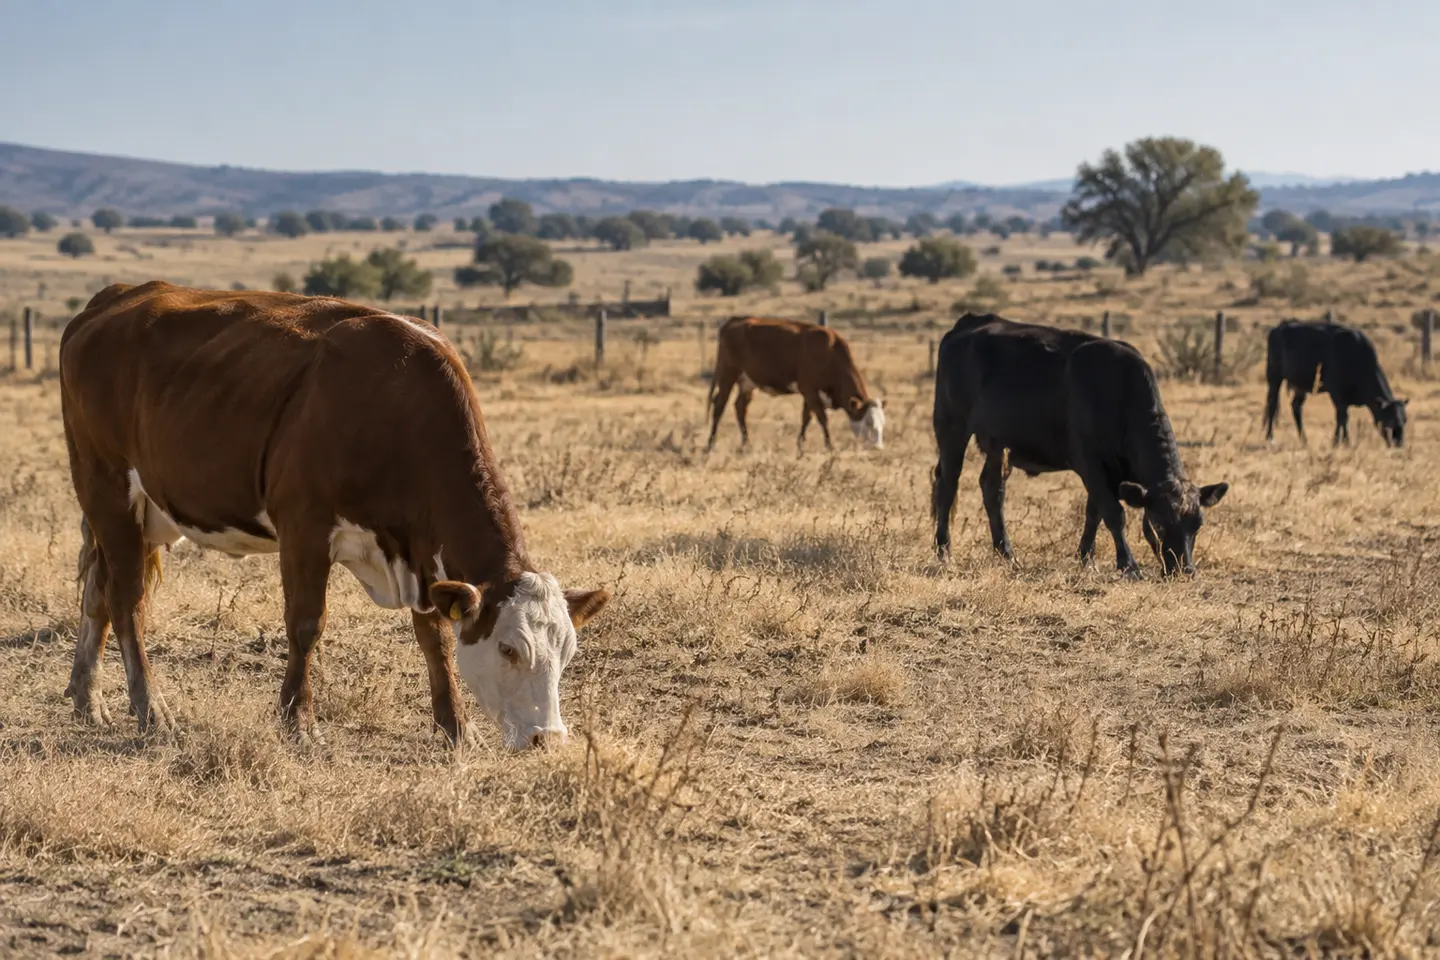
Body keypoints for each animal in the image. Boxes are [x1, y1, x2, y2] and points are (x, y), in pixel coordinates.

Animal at [58, 281, 610, 750]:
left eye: (568, 653)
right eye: (509, 649)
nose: (547, 738)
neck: (395, 406)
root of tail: (112, 298)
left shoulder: (420, 552)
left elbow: (434, 639)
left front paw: (456, 727)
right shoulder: (304, 526)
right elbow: (306, 624)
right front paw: (297, 722)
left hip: (141, 510)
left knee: (98, 590)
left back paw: (87, 698)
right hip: (106, 488)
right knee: (126, 600)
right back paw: (151, 709)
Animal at [705, 317, 884, 452]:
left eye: (883, 423)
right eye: (868, 423)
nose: (878, 447)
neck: (829, 352)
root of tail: (734, 320)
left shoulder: (809, 394)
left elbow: (806, 417)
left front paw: (800, 445)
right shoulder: (809, 389)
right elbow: (822, 418)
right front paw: (829, 446)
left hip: (747, 382)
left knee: (740, 407)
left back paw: (746, 444)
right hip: (728, 374)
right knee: (719, 405)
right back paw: (710, 445)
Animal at [931, 314, 1230, 578]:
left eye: (1198, 524)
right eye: (1158, 522)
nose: (1184, 570)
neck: (1119, 394)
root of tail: (970, 321)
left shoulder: (1109, 472)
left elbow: (1093, 513)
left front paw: (1087, 558)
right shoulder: (1090, 464)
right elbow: (1114, 513)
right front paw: (1128, 565)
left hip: (998, 444)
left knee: (992, 489)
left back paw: (1006, 553)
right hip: (951, 428)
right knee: (948, 485)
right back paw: (944, 550)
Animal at [1263, 319, 1407, 447]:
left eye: (1404, 420)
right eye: (1389, 420)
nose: (1399, 444)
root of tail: (1277, 329)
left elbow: (1342, 417)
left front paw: (1341, 441)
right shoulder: (1336, 393)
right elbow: (1342, 416)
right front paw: (1341, 441)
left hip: (1300, 386)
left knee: (1296, 407)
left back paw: (1304, 440)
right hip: (1274, 378)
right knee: (1273, 404)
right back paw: (1270, 437)